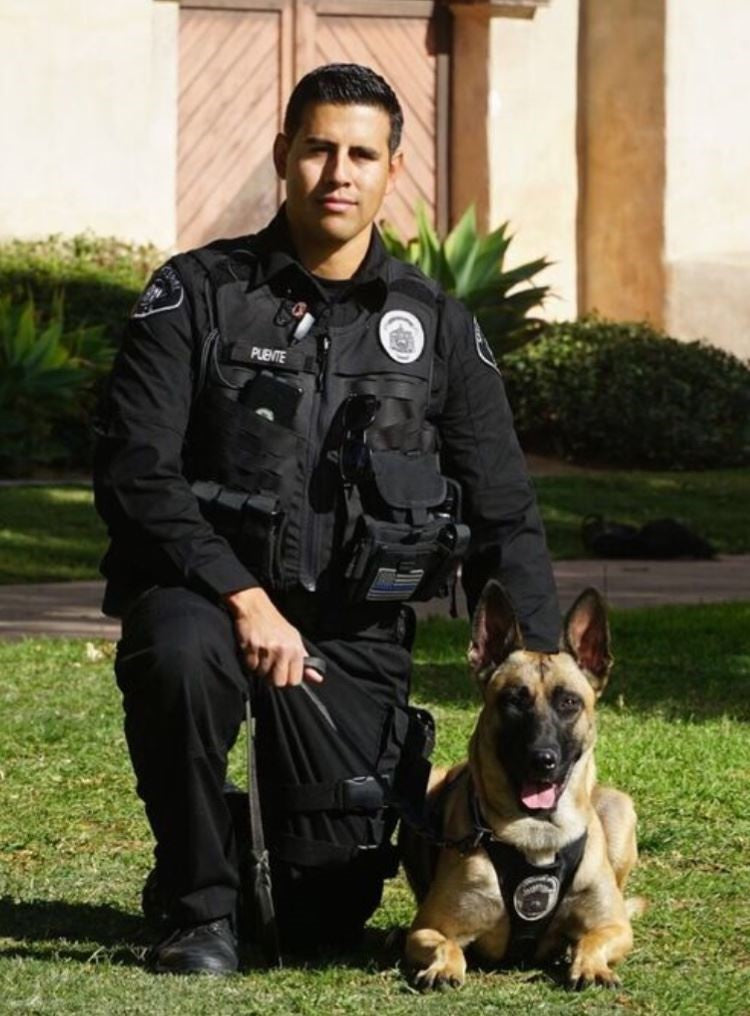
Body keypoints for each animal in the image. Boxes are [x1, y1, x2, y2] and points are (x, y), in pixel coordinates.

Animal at [400, 585, 638, 987]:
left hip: (619, 809)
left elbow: (592, 938)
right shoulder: (427, 929)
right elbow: (446, 945)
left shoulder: (614, 926)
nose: (542, 759)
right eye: (513, 700)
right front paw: (445, 966)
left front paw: (588, 963)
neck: (537, 834)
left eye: (569, 702)